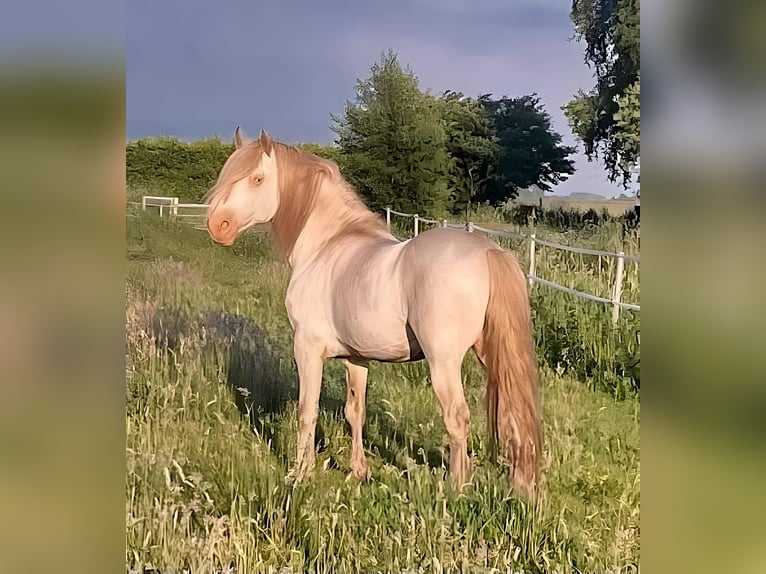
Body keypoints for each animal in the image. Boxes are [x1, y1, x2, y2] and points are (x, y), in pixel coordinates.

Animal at [204, 128, 540, 498]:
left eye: (257, 178)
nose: (218, 225)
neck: (328, 244)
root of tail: (488, 251)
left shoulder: (307, 348)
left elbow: (307, 411)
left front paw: (300, 474)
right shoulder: (356, 358)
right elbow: (355, 412)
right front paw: (358, 471)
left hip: (444, 363)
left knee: (456, 417)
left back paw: (456, 488)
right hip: (493, 355)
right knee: (513, 415)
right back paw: (521, 488)